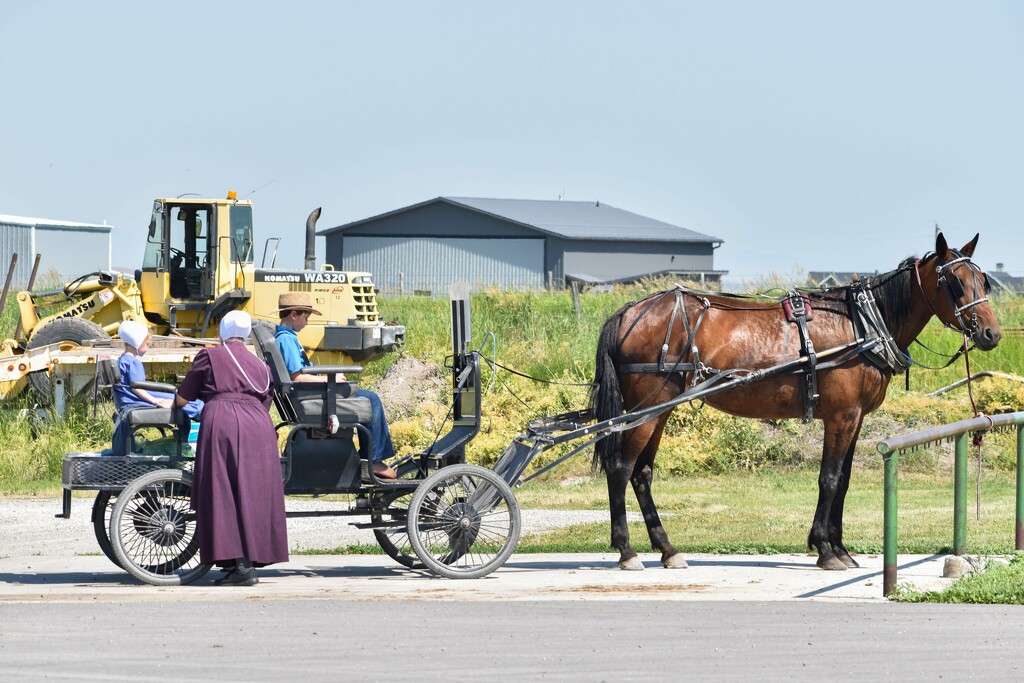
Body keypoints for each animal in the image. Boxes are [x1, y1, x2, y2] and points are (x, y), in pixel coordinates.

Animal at [593, 235, 999, 573]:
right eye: (955, 283)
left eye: (984, 282)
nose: (991, 333)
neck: (862, 325)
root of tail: (629, 312)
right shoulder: (841, 416)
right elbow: (829, 479)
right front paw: (825, 550)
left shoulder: (855, 418)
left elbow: (844, 480)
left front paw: (841, 549)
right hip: (646, 411)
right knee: (620, 468)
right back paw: (627, 551)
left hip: (659, 411)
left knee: (642, 474)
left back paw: (668, 549)